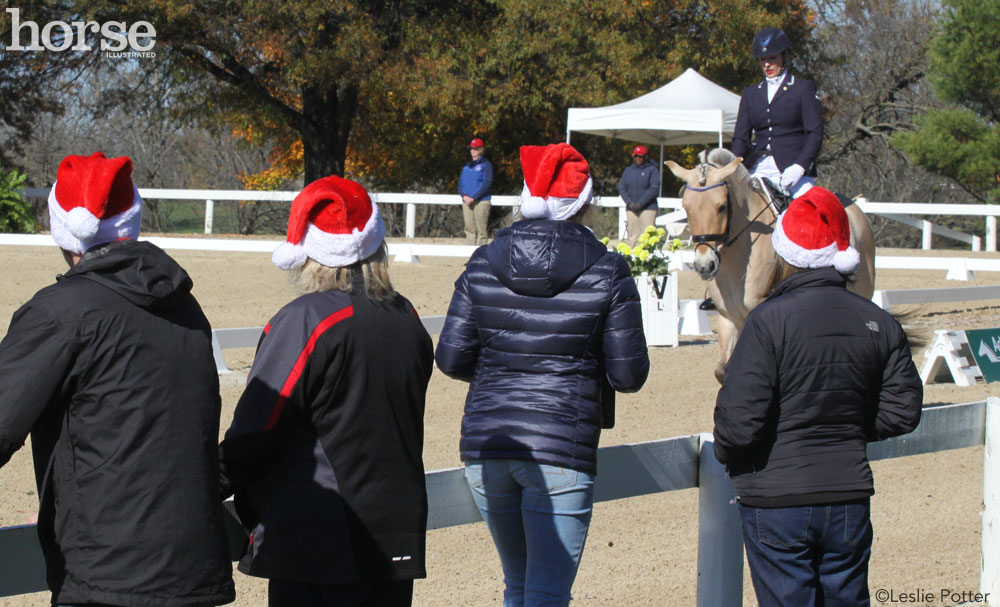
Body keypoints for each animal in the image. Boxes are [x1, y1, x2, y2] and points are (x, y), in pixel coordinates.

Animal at [668, 149, 872, 382]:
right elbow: (722, 370)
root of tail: (854, 207)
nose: (705, 265)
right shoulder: (728, 317)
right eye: (686, 208)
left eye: (721, 207)